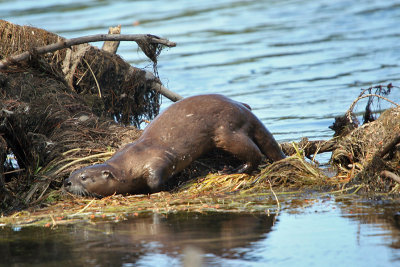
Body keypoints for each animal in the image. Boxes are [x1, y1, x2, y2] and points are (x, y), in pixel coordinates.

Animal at [64, 94, 284, 197]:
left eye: (83, 177)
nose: (67, 182)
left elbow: (155, 179)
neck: (130, 164)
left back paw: (232, 169)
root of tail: (243, 109)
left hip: (226, 131)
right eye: (73, 173)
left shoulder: (156, 160)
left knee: (255, 154)